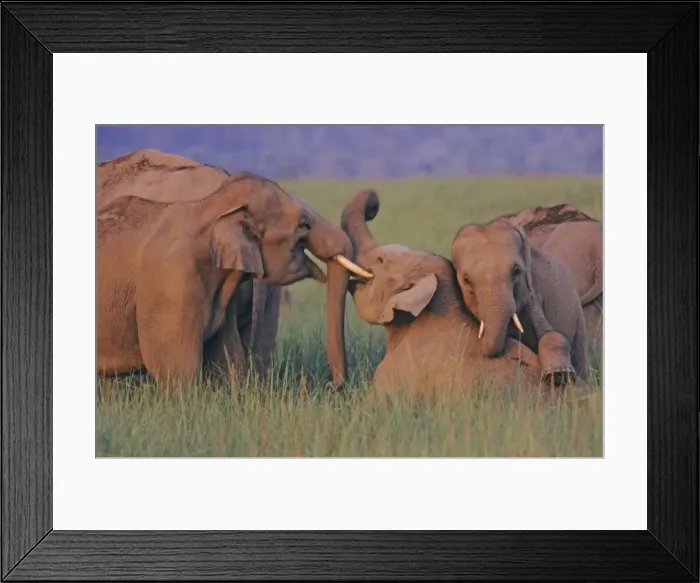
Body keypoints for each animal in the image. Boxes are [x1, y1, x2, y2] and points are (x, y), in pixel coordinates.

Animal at [97, 167, 371, 389]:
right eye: (303, 224)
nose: (329, 386)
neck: (210, 206)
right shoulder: (170, 287)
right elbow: (178, 370)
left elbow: (226, 358)